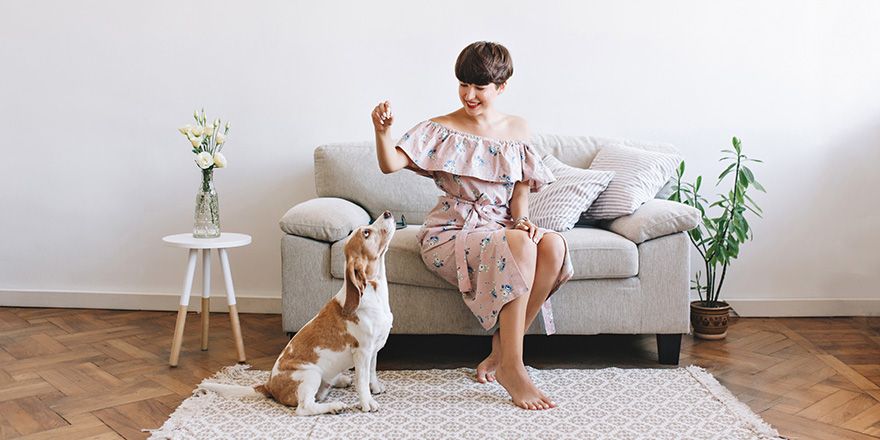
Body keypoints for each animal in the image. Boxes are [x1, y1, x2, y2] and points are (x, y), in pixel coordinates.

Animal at [199, 211, 396, 414]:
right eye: (366, 233)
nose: (387, 213)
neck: (375, 296)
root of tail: (269, 385)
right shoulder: (362, 352)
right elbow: (362, 381)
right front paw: (367, 403)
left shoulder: (373, 351)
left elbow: (372, 373)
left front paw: (375, 387)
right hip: (310, 375)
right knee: (305, 407)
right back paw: (334, 406)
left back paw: (340, 380)